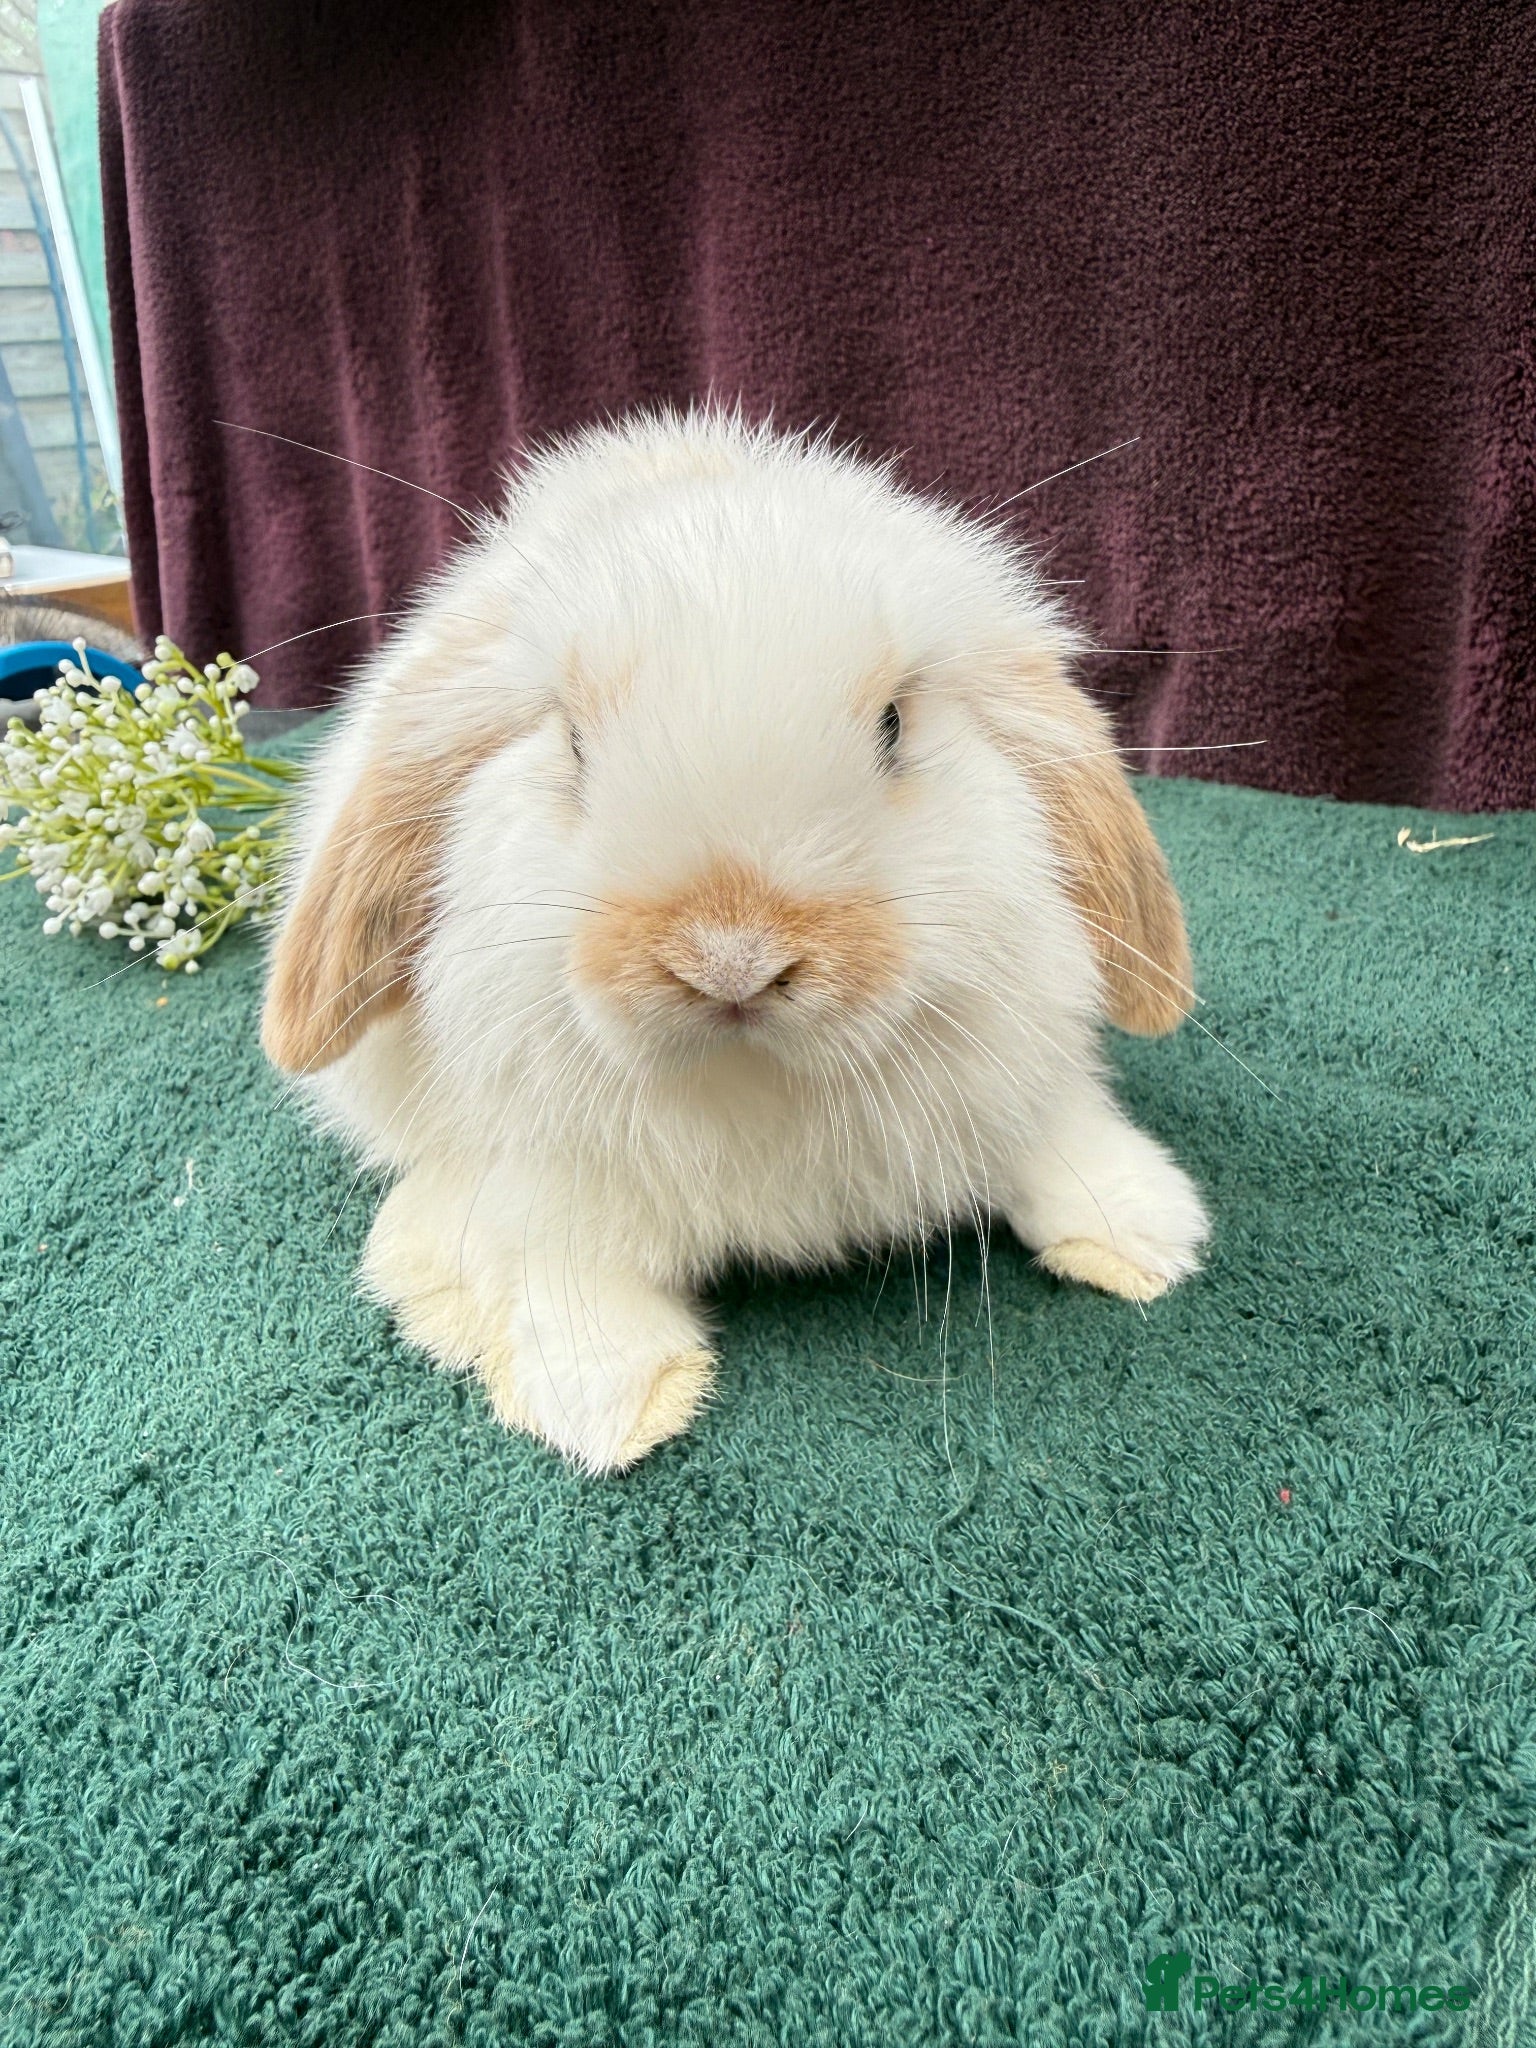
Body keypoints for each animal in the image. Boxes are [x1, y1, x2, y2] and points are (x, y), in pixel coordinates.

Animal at [261, 406, 1209, 1472]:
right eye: (573, 743)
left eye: (894, 725)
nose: (732, 960)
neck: (751, 1088)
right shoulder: (525, 1190)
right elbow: (550, 1269)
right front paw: (613, 1404)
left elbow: (1055, 1140)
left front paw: (1147, 1235)